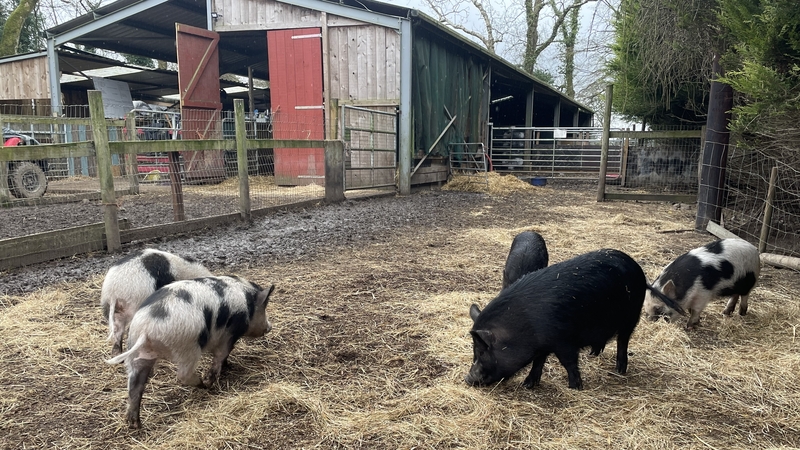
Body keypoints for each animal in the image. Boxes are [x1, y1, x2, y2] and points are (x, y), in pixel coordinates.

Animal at [106, 275, 274, 429]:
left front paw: (229, 366)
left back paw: (134, 424)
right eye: (264, 308)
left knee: (135, 385)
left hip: (137, 353)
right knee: (182, 375)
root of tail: (146, 328)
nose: (269, 326)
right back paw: (203, 384)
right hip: (188, 347)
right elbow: (221, 355)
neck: (248, 306)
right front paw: (213, 378)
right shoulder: (229, 334)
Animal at [465, 248, 685, 390]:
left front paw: (575, 387)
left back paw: (620, 370)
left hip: (630, 317)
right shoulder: (544, 344)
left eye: (482, 351)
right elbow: (538, 362)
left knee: (623, 341)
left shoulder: (563, 341)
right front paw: (528, 385)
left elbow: (568, 362)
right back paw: (594, 354)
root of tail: (639, 272)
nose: (468, 379)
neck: (523, 326)